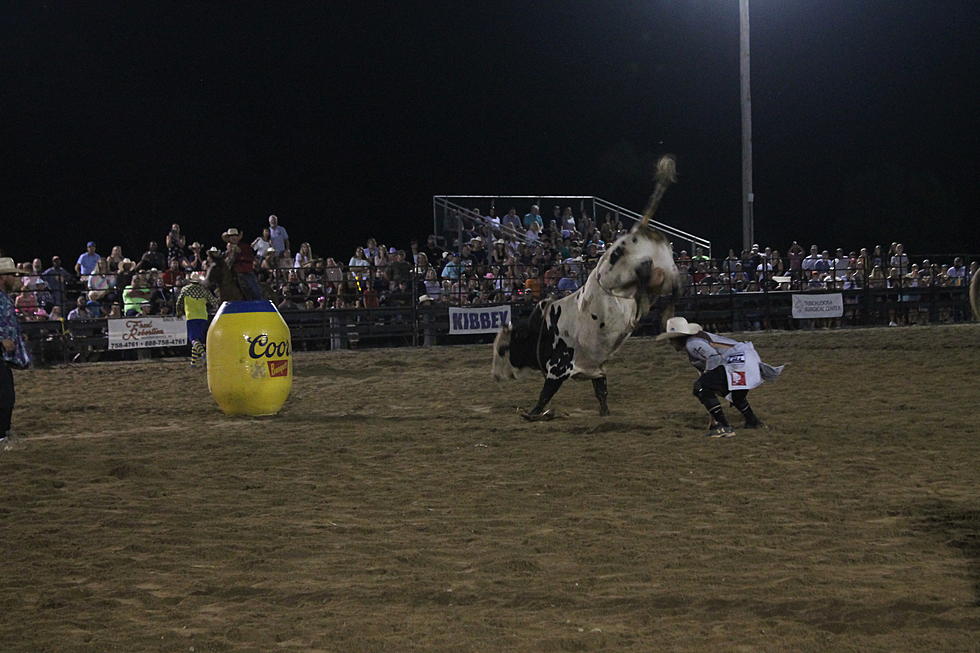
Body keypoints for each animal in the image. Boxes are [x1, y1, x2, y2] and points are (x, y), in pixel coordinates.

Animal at [494, 156, 676, 420]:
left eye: (502, 349)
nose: (495, 376)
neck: (544, 330)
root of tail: (631, 234)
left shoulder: (558, 368)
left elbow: (545, 393)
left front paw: (532, 413)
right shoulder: (593, 367)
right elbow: (601, 390)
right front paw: (604, 412)